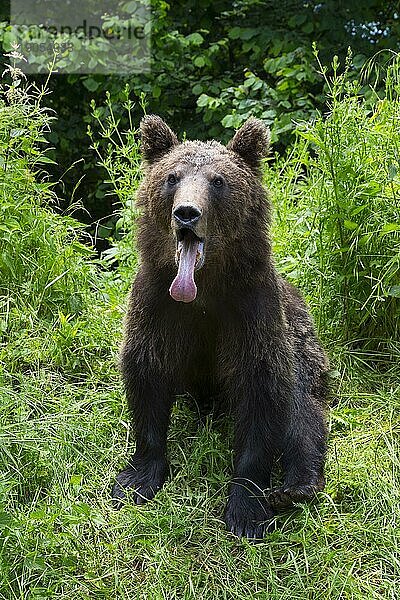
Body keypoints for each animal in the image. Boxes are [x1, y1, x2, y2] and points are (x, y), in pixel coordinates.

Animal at [111, 115, 328, 540]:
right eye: (172, 177)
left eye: (218, 180)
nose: (187, 213)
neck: (202, 289)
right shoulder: (158, 304)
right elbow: (147, 371)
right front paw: (136, 479)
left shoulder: (250, 310)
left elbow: (263, 390)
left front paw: (247, 509)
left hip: (303, 346)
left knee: (301, 410)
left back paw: (295, 486)